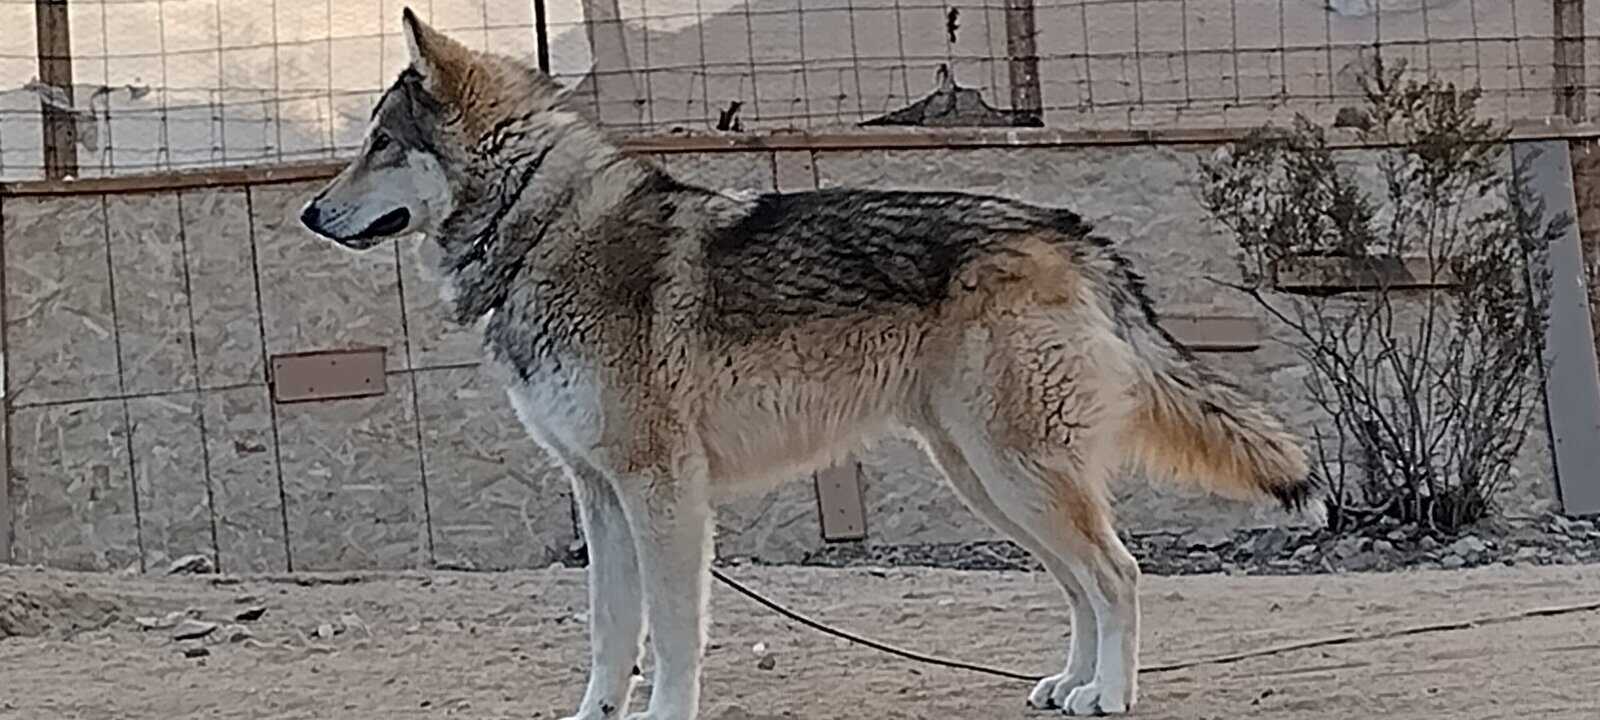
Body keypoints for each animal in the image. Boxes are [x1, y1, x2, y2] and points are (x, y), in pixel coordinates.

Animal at [300, 9, 1313, 719]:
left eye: (382, 144)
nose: (311, 212)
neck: (544, 234)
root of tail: (1075, 232)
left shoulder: (661, 490)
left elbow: (672, 632)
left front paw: (666, 712)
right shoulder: (599, 495)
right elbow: (608, 636)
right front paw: (596, 714)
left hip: (1017, 476)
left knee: (1120, 573)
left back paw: (1108, 694)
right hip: (990, 485)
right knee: (1081, 582)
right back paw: (1068, 686)